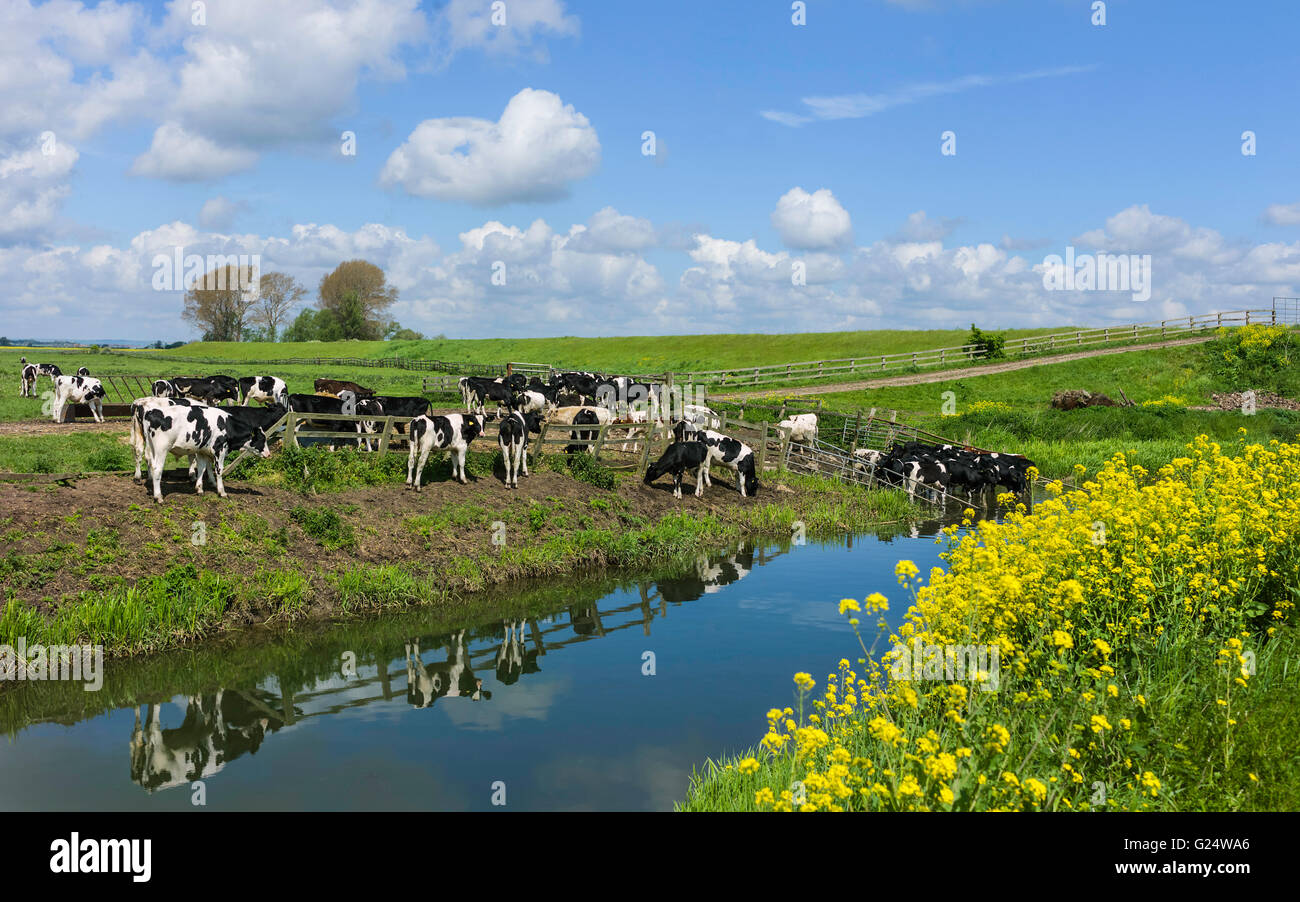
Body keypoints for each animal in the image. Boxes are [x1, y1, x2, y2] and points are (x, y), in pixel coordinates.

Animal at [139, 400, 271, 501]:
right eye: (262, 439)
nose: (269, 454)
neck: (227, 425)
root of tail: (151, 411)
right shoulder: (220, 449)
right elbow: (218, 470)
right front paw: (222, 492)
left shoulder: (202, 451)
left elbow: (202, 469)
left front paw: (199, 489)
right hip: (161, 449)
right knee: (157, 469)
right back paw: (158, 497)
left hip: (151, 449)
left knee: (150, 464)